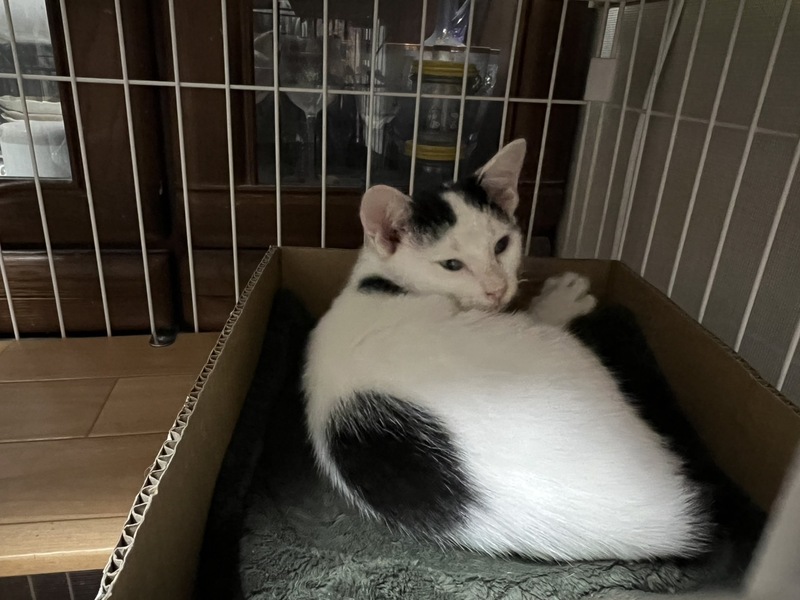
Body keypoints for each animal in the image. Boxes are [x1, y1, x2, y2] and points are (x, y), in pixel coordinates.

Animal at [302, 139, 710, 562]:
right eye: (452, 264)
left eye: (501, 245)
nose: (497, 289)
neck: (379, 282)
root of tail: (667, 524)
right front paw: (562, 299)